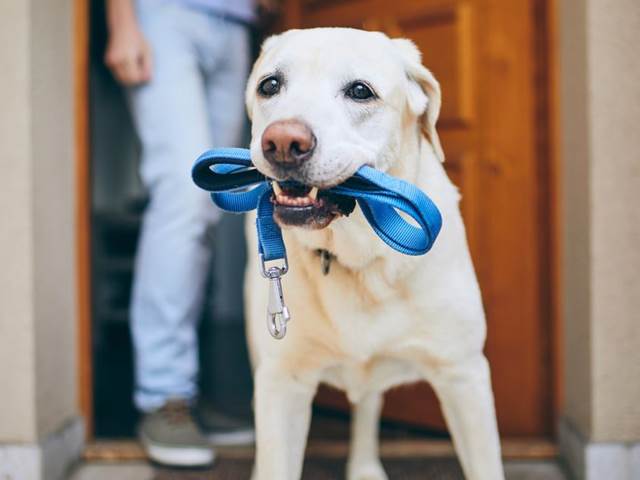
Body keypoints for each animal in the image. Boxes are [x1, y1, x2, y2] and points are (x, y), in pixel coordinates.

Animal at [242, 28, 502, 478]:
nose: (282, 141)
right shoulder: (282, 381)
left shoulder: (464, 375)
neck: (360, 258)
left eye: (360, 91)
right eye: (269, 85)